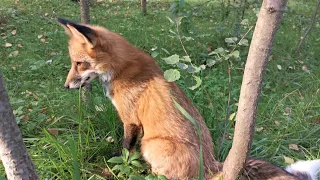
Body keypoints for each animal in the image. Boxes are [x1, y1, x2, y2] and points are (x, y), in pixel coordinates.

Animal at [57, 18, 320, 180]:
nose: (66, 86)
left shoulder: (131, 120)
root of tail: (213, 164)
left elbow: (125, 152)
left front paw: (119, 169)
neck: (122, 68)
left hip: (151, 143)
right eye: (72, 63)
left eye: (79, 63)